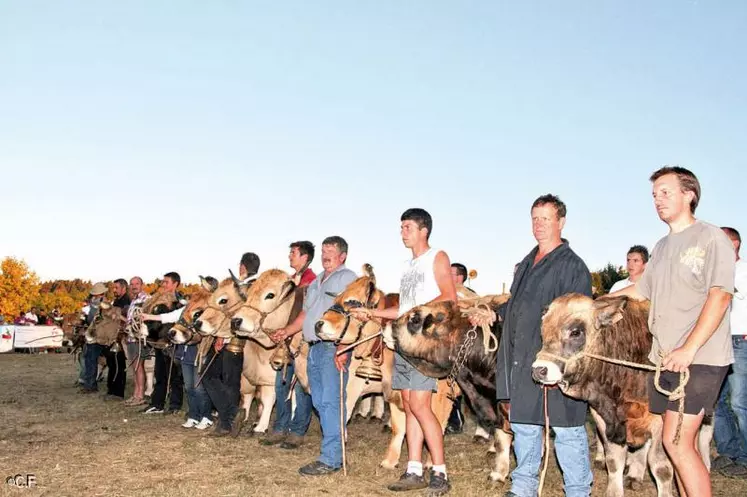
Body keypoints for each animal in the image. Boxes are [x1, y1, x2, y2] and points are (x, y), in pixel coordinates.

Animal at [532, 294, 712, 496]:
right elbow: (614, 462)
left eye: (576, 332)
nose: (539, 370)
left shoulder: (660, 421)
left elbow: (661, 467)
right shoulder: (604, 417)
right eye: (543, 330)